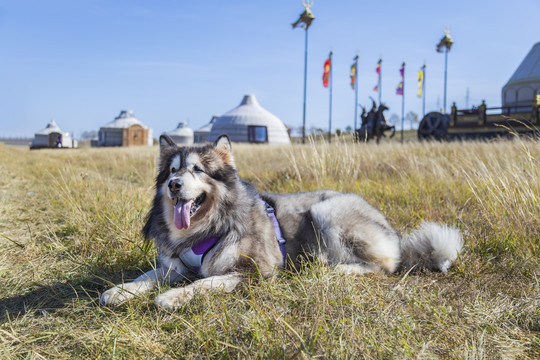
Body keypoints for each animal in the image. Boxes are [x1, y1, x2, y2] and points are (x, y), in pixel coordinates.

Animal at [101, 135, 464, 310]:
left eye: (198, 170)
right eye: (172, 171)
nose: (174, 186)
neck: (204, 229)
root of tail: (392, 229)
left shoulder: (254, 271)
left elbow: (204, 283)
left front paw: (171, 298)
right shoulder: (175, 266)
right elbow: (148, 275)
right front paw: (121, 290)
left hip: (327, 211)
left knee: (384, 265)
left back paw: (334, 270)